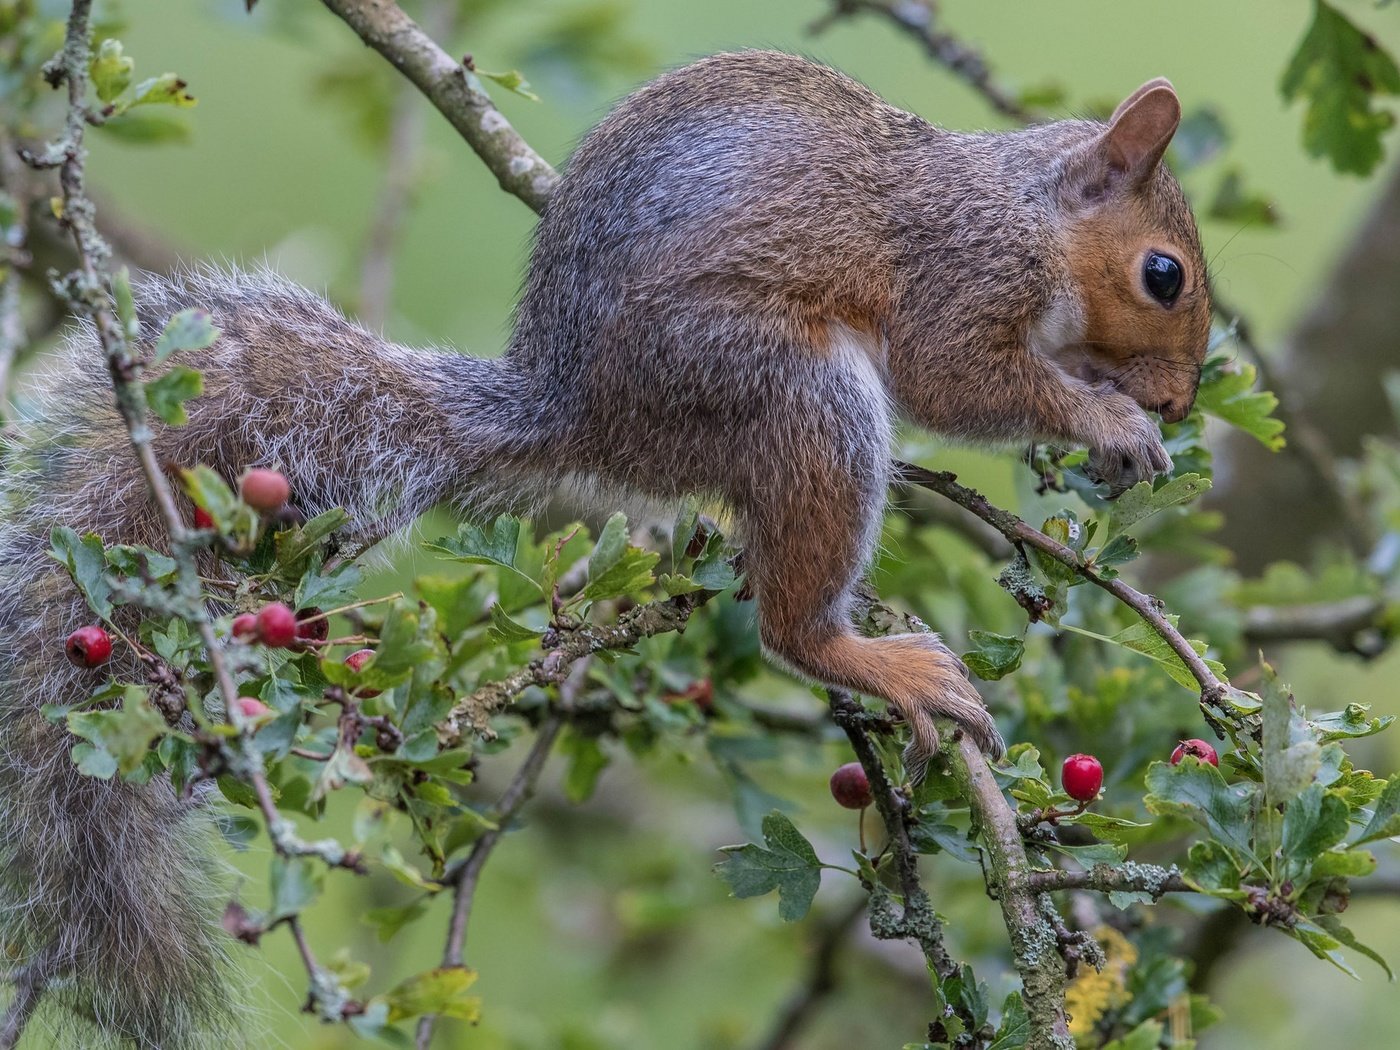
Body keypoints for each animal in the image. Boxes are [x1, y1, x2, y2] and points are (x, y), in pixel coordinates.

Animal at [0, 51, 1204, 1050]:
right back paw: (873, 659)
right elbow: (958, 379)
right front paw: (1104, 422)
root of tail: (579, 413)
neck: (1026, 213)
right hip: (787, 392)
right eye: (1164, 275)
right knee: (788, 621)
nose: (1182, 403)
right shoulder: (960, 279)